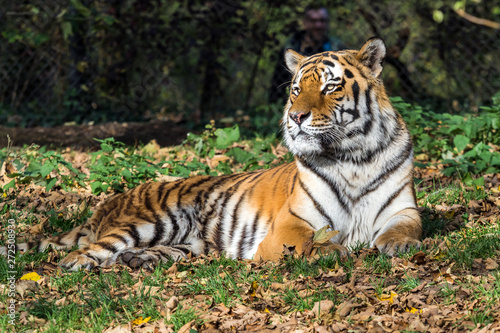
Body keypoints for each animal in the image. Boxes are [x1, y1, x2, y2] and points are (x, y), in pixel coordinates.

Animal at [0, 37, 422, 270]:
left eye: (331, 87)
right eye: (296, 90)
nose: (295, 117)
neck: (353, 158)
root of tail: (109, 202)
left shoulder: (404, 210)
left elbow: (405, 229)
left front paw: (399, 245)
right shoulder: (292, 224)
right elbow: (310, 243)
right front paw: (334, 251)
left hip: (189, 241)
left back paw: (140, 260)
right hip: (149, 222)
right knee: (89, 251)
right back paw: (79, 264)